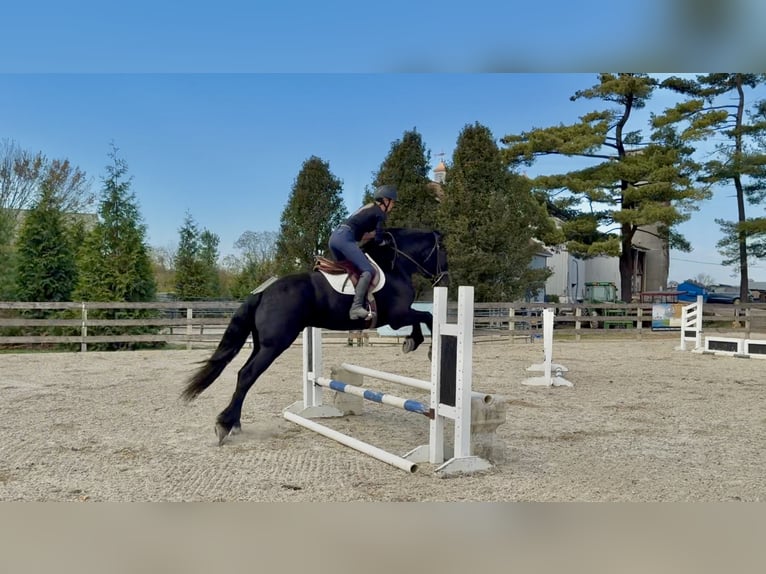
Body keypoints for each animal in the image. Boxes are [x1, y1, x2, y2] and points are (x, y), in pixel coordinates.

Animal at [181, 227, 449, 444]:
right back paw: (225, 424)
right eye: (442, 250)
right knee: (247, 375)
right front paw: (420, 345)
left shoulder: (398, 317)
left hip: (261, 345)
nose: (445, 279)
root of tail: (263, 293)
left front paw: (414, 343)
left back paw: (234, 422)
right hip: (274, 345)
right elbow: (427, 317)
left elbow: (423, 318)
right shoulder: (397, 316)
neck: (394, 265)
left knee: (242, 374)